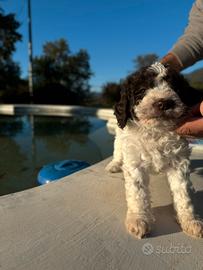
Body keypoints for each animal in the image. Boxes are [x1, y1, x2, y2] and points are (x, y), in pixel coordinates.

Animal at [106, 62, 203, 238]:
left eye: (176, 89)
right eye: (142, 91)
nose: (164, 103)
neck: (156, 131)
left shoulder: (179, 162)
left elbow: (183, 192)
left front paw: (190, 220)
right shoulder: (134, 161)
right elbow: (137, 192)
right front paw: (138, 220)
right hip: (119, 136)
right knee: (117, 149)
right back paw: (114, 164)